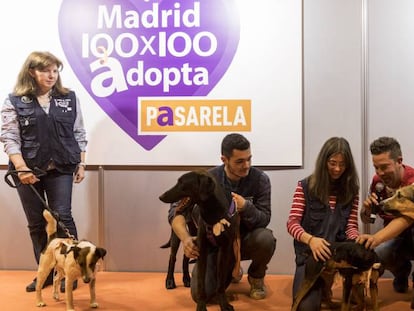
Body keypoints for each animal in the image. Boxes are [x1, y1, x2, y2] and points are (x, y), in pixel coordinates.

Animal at [159, 171, 238, 311]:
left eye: (181, 183)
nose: (161, 196)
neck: (213, 213)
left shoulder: (224, 250)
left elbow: (220, 281)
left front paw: (224, 304)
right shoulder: (202, 251)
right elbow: (201, 283)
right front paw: (201, 306)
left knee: (185, 258)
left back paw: (186, 279)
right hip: (177, 236)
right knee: (172, 258)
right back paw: (170, 281)